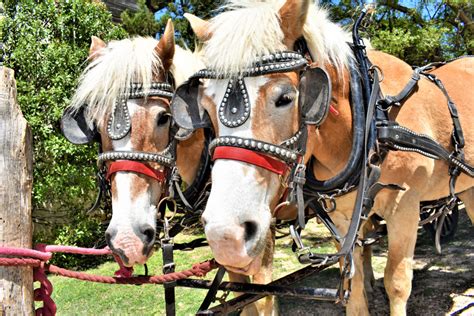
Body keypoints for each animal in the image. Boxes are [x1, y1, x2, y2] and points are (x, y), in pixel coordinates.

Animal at [170, 1, 474, 314]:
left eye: (285, 97)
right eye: (205, 105)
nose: (226, 236)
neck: (371, 115)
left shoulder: (405, 206)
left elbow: (397, 282)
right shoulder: (342, 217)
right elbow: (352, 284)